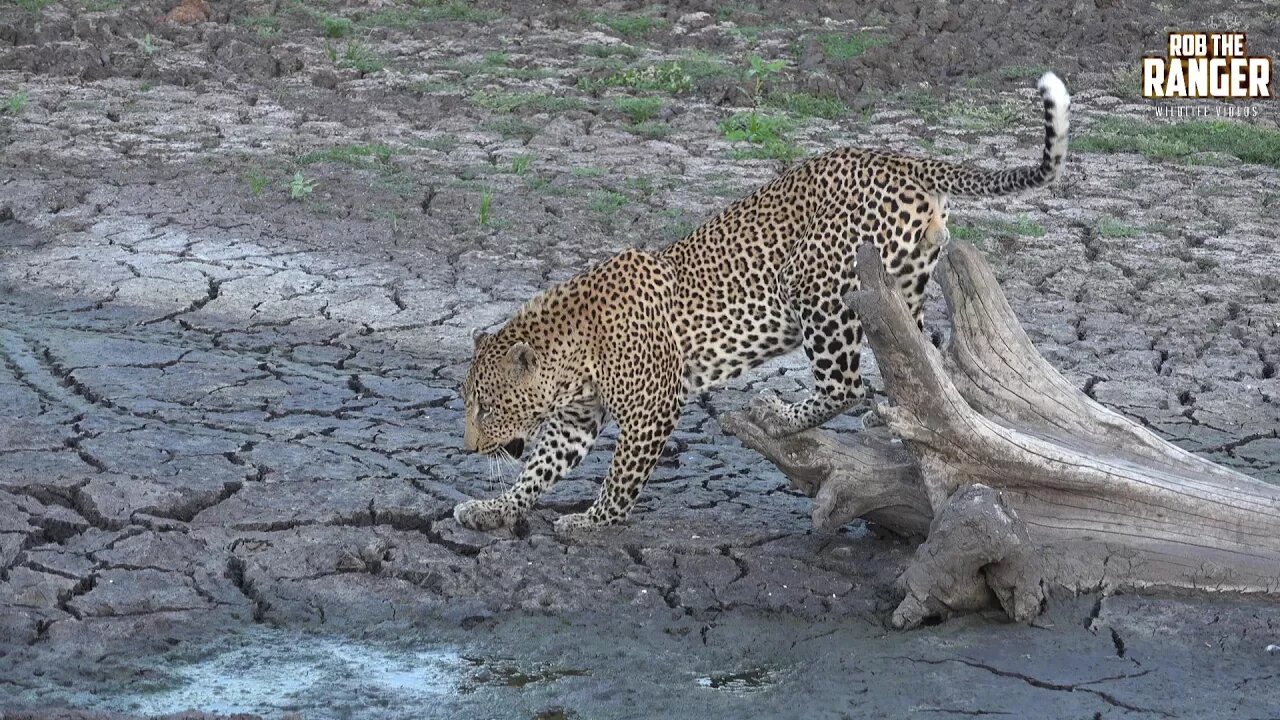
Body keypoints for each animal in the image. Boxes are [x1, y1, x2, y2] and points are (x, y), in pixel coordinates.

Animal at [450, 73, 1070, 532]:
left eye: (487, 406)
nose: (470, 446)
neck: (570, 353)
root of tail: (899, 158)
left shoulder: (654, 408)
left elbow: (622, 475)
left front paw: (592, 520)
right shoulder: (575, 420)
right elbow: (538, 468)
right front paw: (492, 508)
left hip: (816, 285)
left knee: (846, 385)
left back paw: (779, 414)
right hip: (903, 284)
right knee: (920, 363)